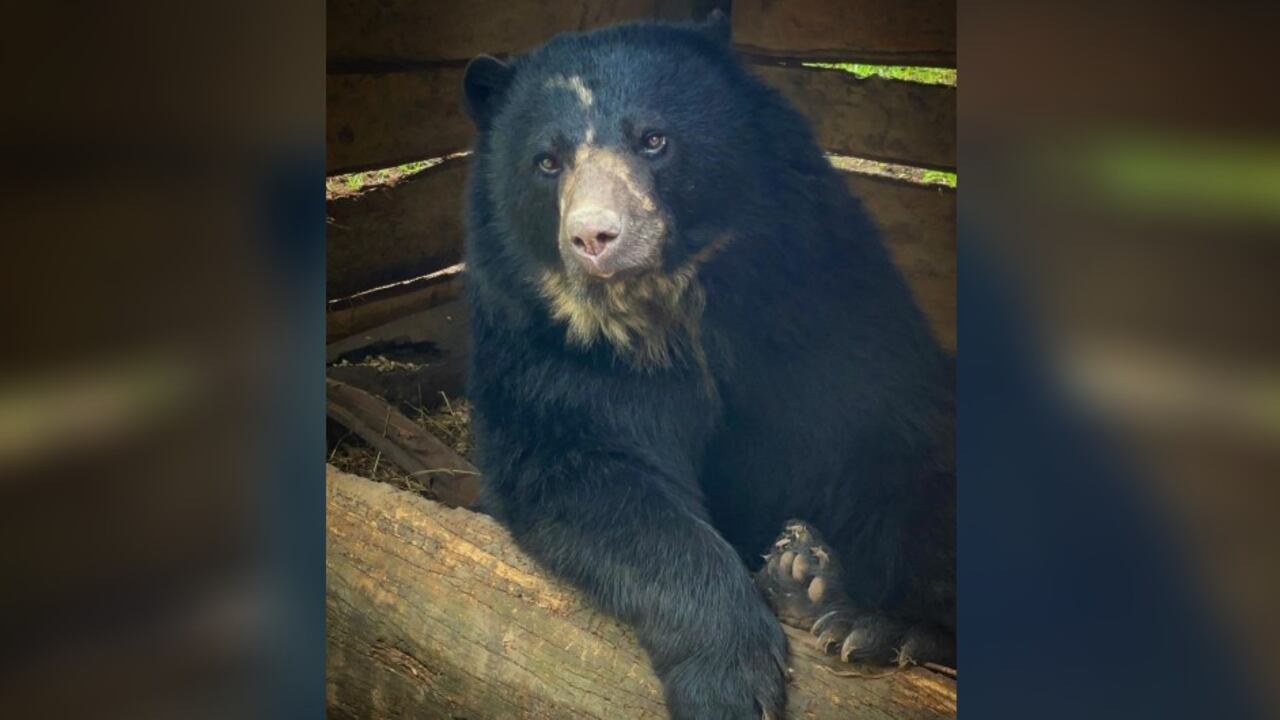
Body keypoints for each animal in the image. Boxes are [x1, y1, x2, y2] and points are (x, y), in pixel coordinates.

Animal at [460, 11, 954, 719]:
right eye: (547, 162)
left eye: (654, 140)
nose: (594, 239)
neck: (668, 309)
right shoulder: (548, 350)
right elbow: (584, 473)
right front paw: (730, 679)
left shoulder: (820, 298)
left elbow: (894, 440)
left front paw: (876, 622)